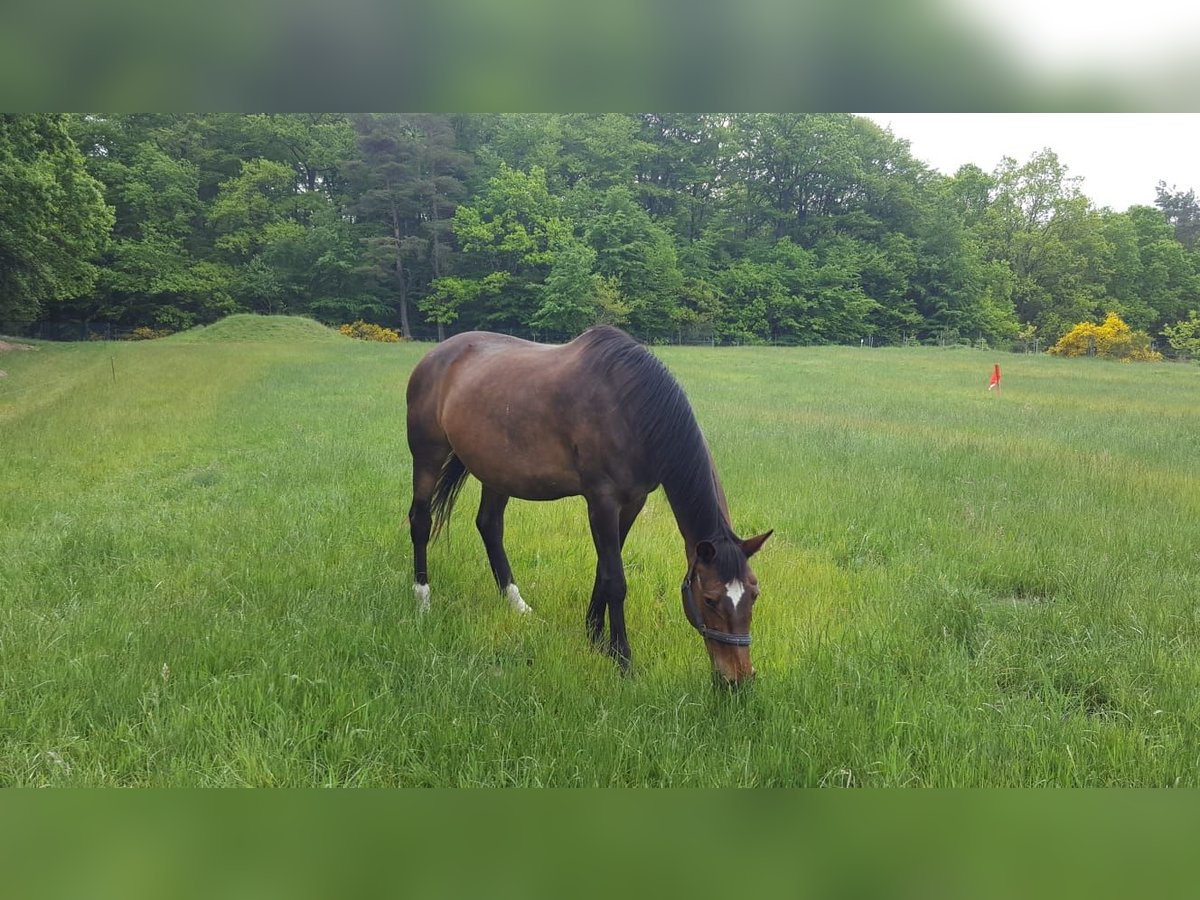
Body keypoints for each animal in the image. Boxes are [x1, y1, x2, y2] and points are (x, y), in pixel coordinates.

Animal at [408, 328, 772, 686]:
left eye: (754, 594)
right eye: (709, 599)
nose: (739, 679)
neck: (630, 408)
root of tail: (435, 355)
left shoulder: (633, 502)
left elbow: (603, 569)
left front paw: (596, 638)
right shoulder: (602, 501)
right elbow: (616, 579)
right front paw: (622, 658)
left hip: (497, 471)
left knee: (489, 526)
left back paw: (517, 605)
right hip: (428, 455)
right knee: (420, 521)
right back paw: (423, 600)